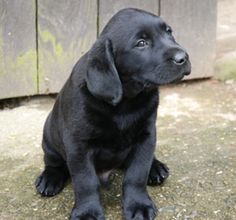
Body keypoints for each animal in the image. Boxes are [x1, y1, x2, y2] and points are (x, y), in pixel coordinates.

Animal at [35, 7, 191, 219]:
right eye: (141, 43)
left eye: (169, 32)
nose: (183, 57)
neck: (125, 100)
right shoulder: (78, 145)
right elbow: (85, 182)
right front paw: (87, 212)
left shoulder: (146, 136)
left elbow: (137, 174)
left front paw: (138, 204)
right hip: (49, 138)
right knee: (53, 162)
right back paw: (50, 178)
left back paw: (156, 167)